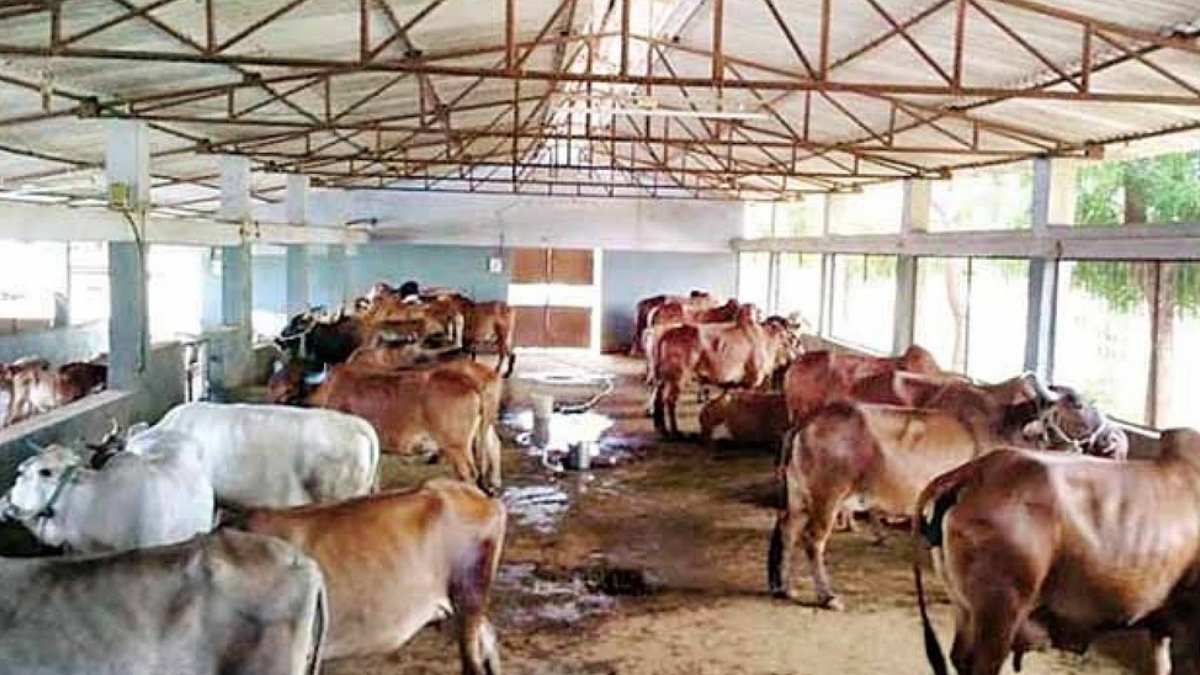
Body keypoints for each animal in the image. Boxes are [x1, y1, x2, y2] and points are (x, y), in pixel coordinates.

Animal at [268, 361, 500, 494]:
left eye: (290, 384)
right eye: (273, 383)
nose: (272, 398)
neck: (327, 388)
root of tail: (468, 381)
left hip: (456, 447)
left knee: (469, 474)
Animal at [767, 377, 1116, 611]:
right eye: (1078, 404)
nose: (1111, 436)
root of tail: (807, 422)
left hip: (799, 496)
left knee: (788, 530)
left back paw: (785, 587)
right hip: (828, 496)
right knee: (813, 540)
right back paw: (827, 596)